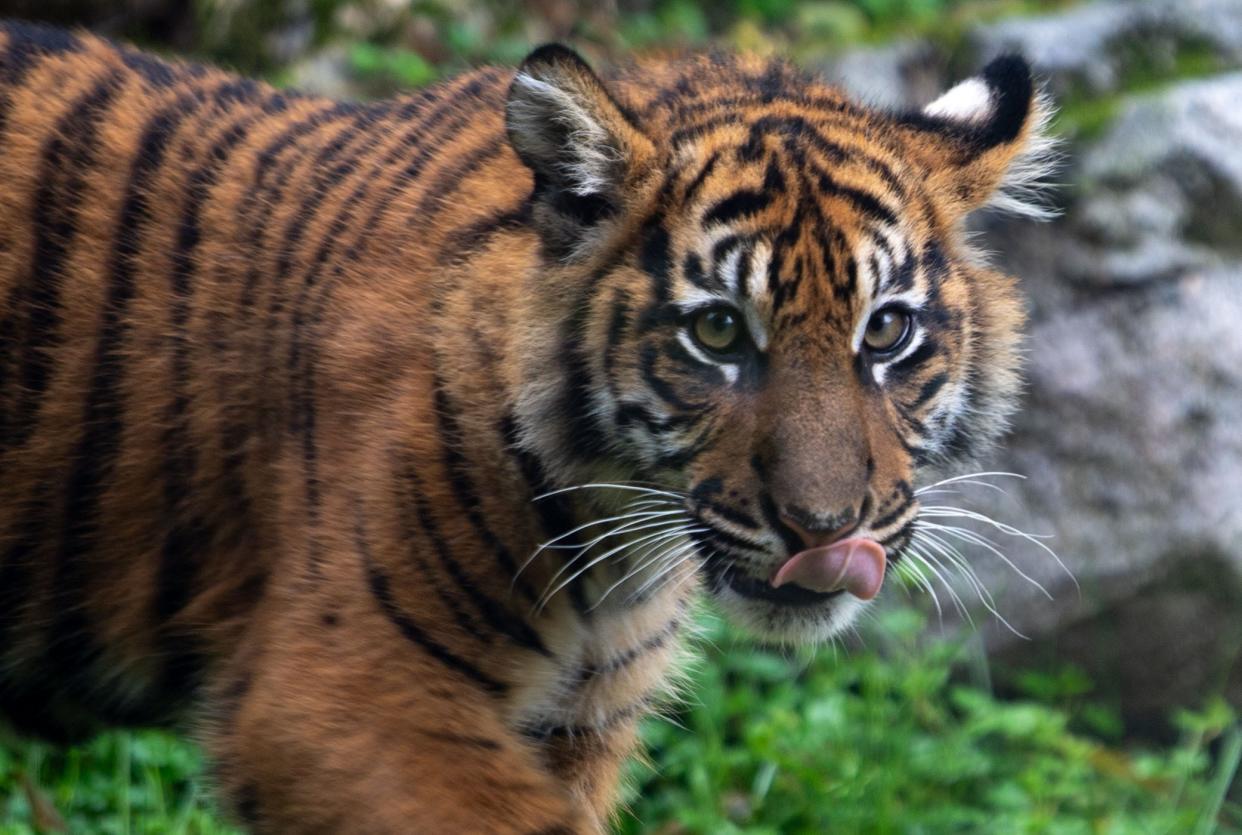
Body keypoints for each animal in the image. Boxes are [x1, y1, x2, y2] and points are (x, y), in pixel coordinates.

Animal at [0, 19, 1048, 835]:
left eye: (887, 331)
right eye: (717, 331)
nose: (826, 531)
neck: (617, 548)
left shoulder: (573, 729)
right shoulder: (339, 695)